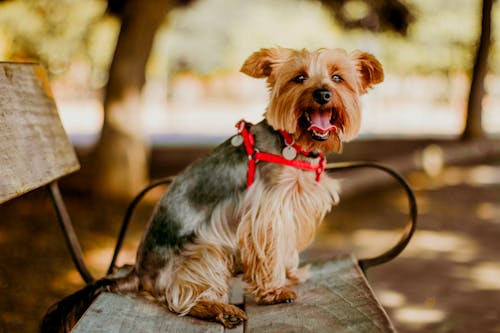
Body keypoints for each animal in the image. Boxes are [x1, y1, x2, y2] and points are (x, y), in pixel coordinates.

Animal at [40, 46, 382, 330]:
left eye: (337, 77)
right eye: (299, 78)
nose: (323, 93)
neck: (294, 144)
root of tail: (139, 273)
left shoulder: (293, 207)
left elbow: (285, 247)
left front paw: (290, 273)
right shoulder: (267, 211)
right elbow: (270, 249)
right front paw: (273, 289)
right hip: (205, 249)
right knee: (180, 297)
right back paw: (220, 310)